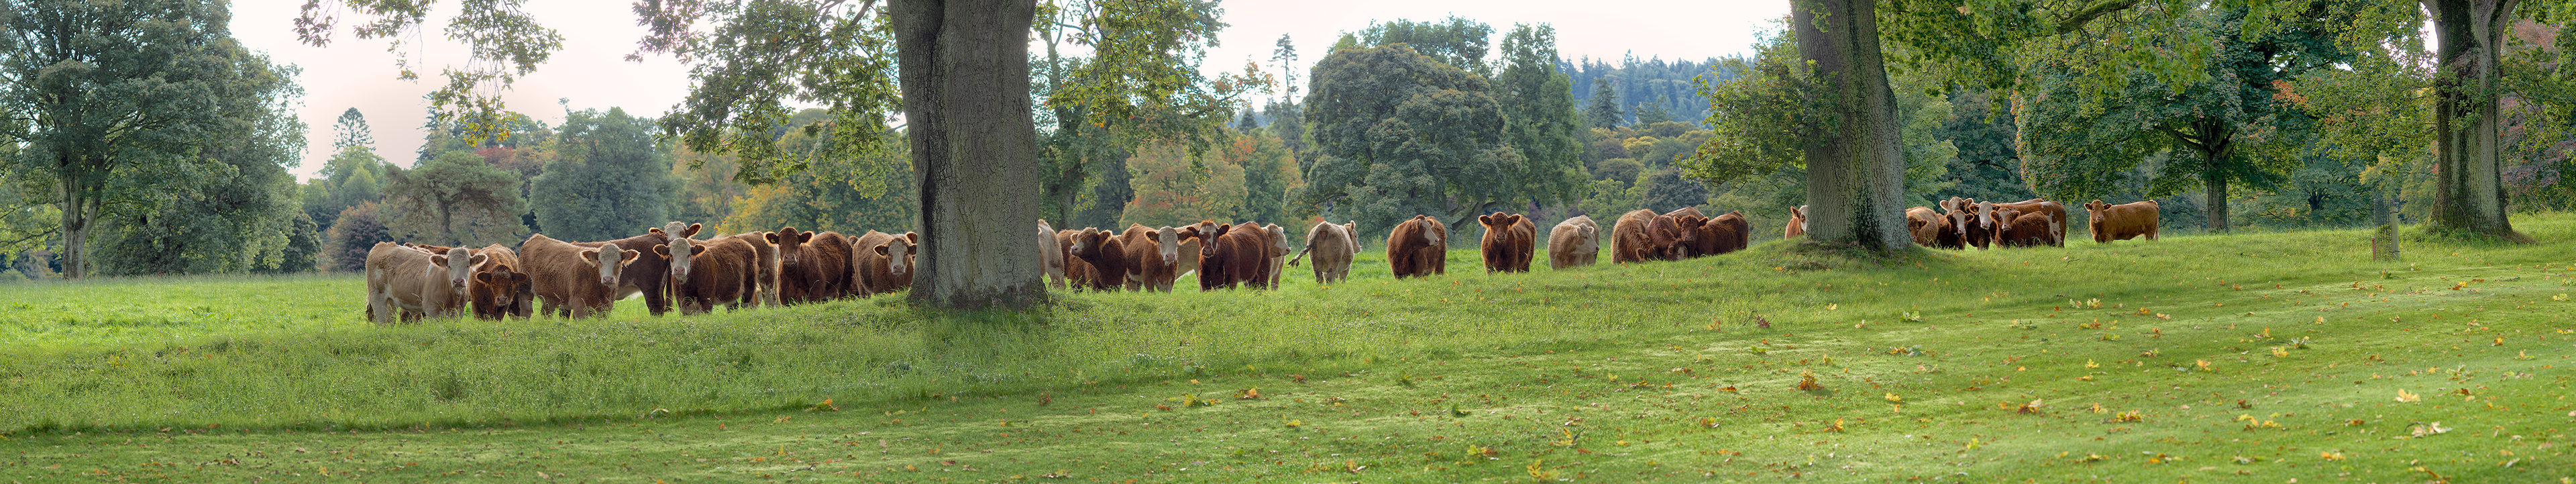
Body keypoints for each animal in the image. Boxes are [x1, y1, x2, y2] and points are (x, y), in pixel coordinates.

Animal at [363, 243, 487, 324]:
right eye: (449, 266)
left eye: (467, 265)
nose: (458, 281)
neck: (453, 298)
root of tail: (382, 245)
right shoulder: (432, 311)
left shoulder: (459, 311)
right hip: (377, 297)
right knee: (382, 322)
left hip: (391, 301)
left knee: (389, 322)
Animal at [523, 233, 643, 319]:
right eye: (599, 261)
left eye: (618, 261)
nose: (608, 279)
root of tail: (537, 237)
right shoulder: (579, 305)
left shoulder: (605, 307)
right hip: (525, 289)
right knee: (525, 311)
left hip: (549, 299)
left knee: (546, 314)